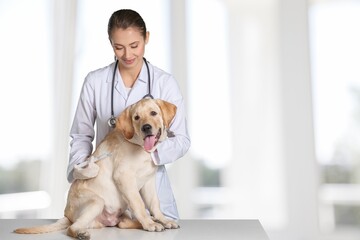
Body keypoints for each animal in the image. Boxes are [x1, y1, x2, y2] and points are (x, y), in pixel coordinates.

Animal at [14, 98, 180, 239]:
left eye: (153, 113)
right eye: (136, 118)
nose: (146, 127)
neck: (138, 146)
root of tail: (67, 216)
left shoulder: (148, 182)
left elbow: (154, 204)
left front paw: (162, 220)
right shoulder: (124, 177)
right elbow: (139, 204)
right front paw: (150, 224)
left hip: (121, 212)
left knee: (122, 223)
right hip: (96, 201)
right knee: (72, 228)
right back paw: (80, 233)